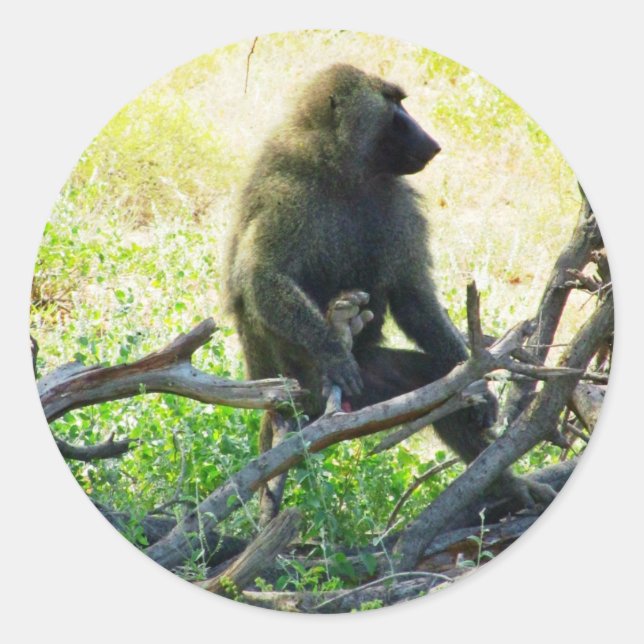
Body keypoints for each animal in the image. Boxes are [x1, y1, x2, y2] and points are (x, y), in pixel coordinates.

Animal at [223, 63, 498, 477]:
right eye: (392, 103)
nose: (433, 144)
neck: (340, 167)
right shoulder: (285, 193)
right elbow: (261, 275)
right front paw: (332, 351)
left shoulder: (398, 202)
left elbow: (413, 297)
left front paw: (481, 386)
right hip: (281, 381)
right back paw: (334, 333)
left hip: (373, 382)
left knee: (435, 385)